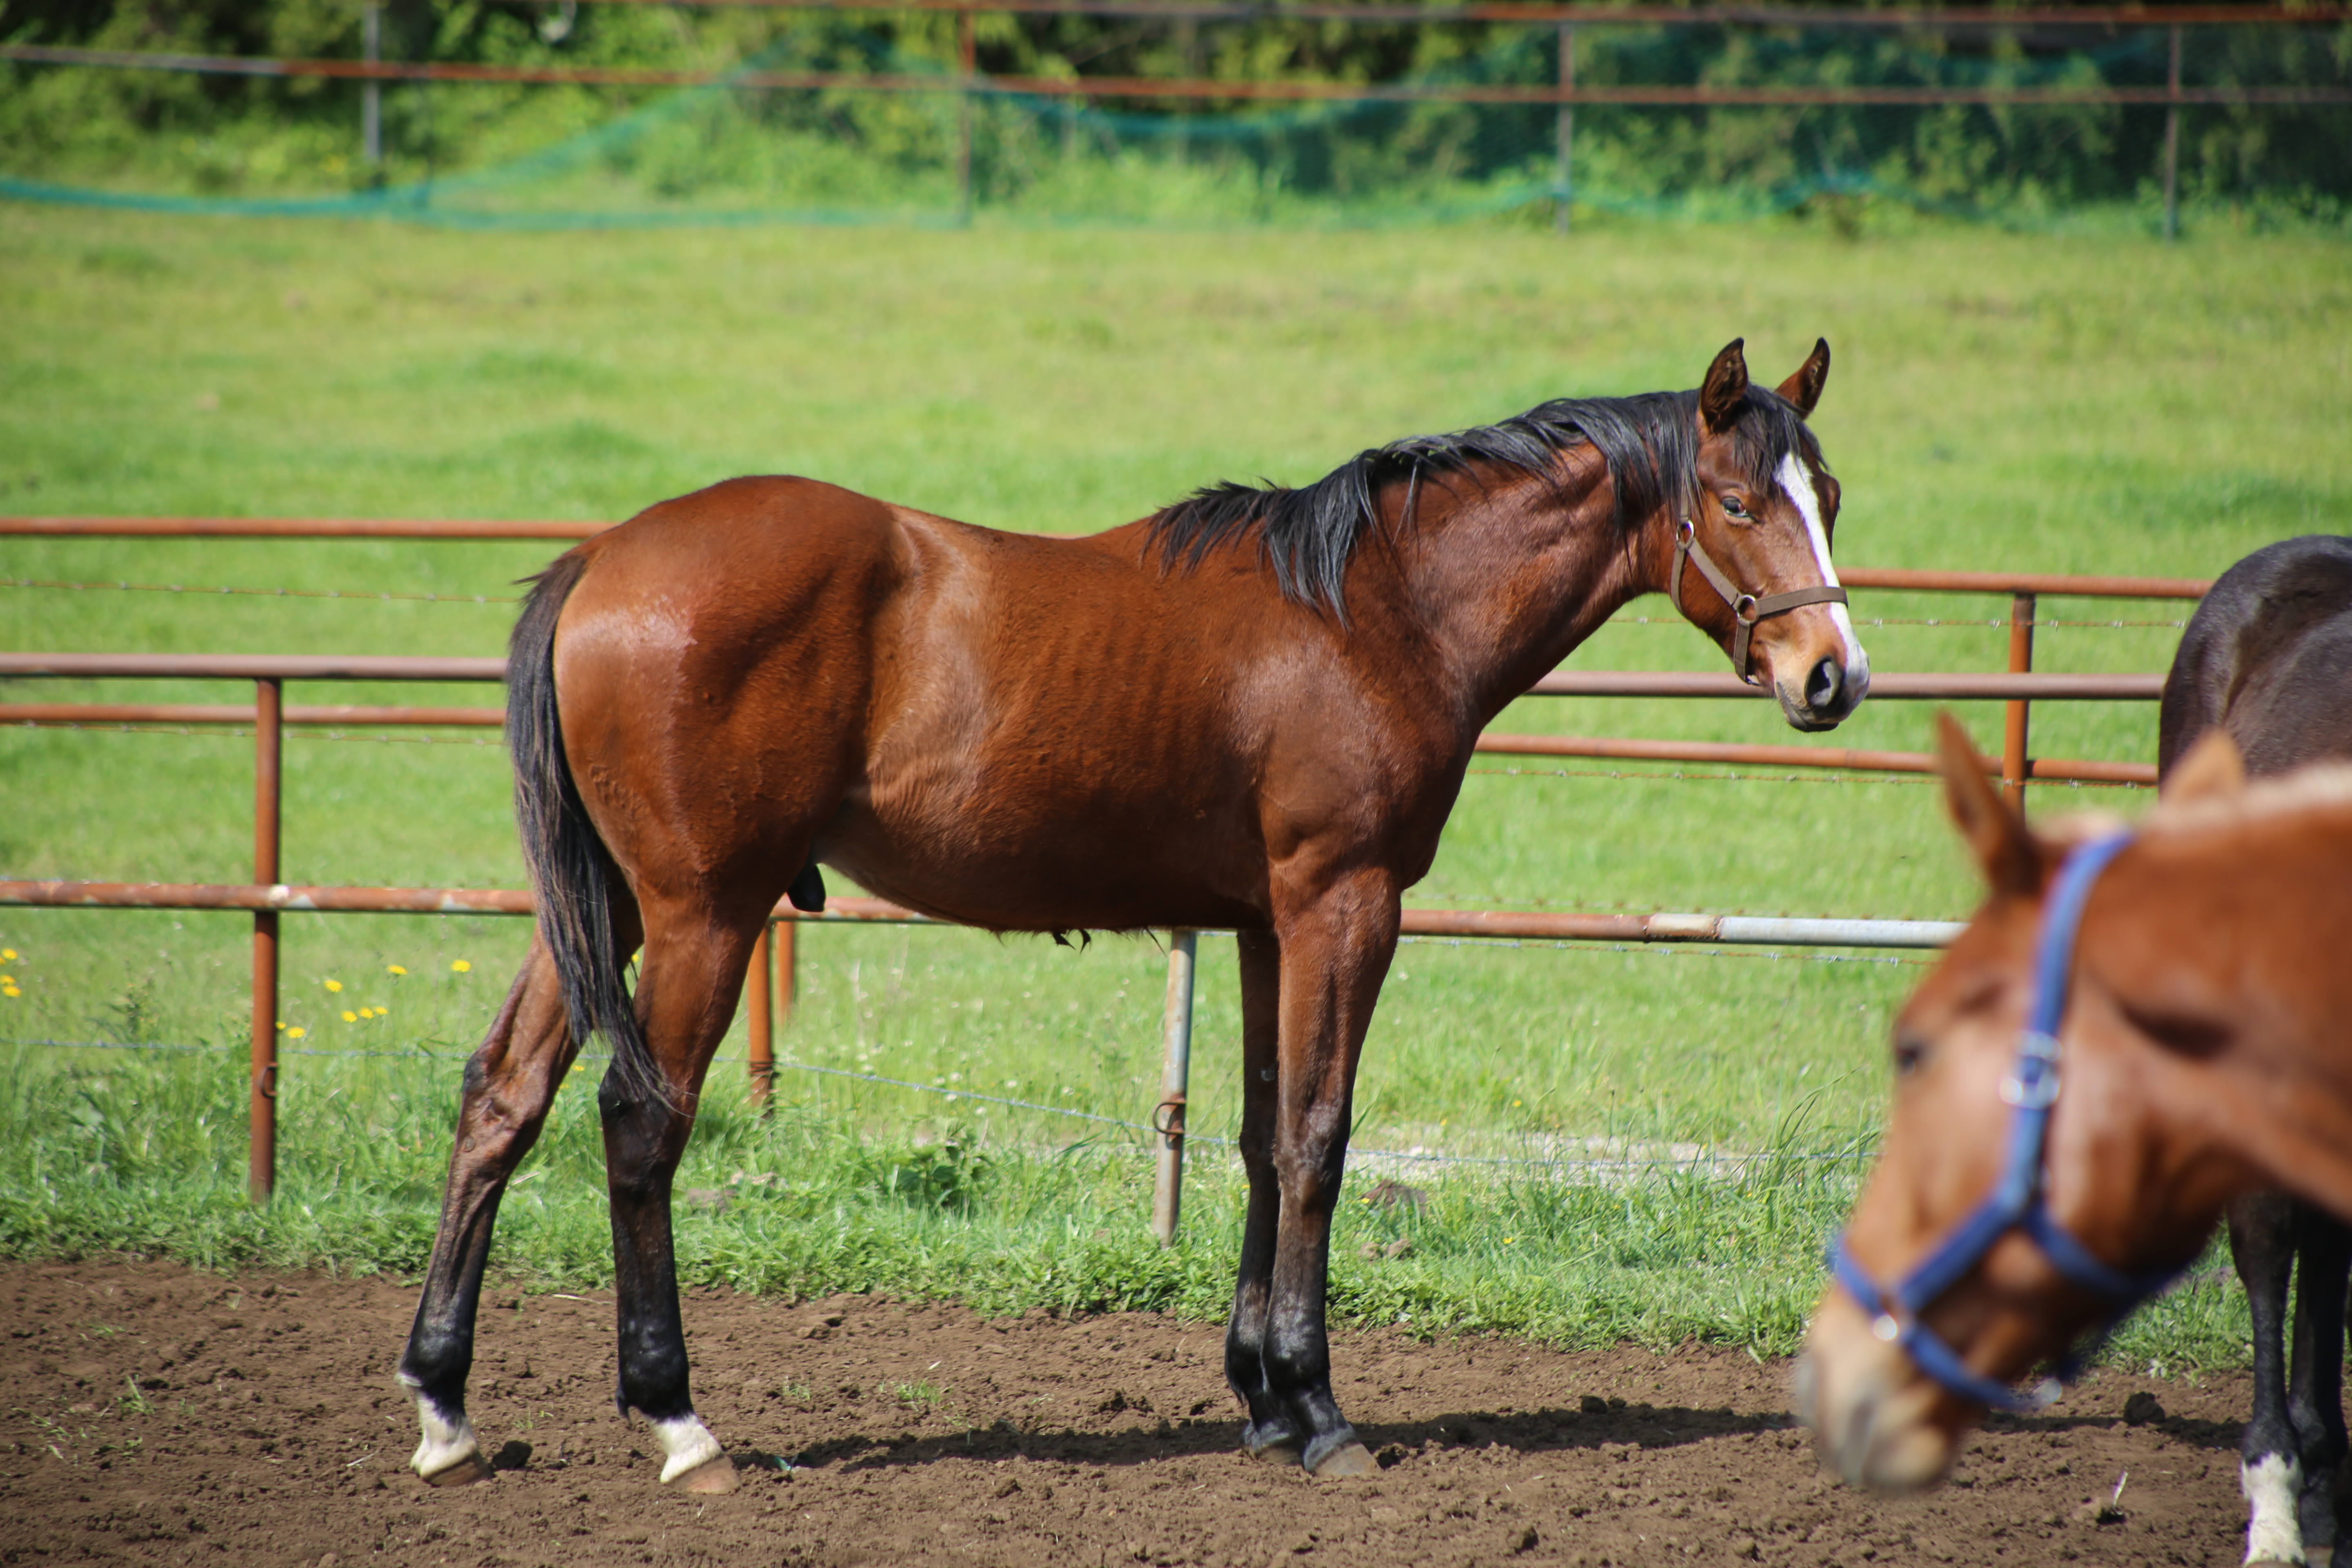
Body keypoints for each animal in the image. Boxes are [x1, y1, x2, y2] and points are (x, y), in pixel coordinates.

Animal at [404, 339, 1872, 1495]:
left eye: (1834, 497)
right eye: (1739, 500)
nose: (1833, 677)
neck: (1376, 607)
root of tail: (602, 559)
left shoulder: (1266, 922)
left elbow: (1262, 1140)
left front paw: (1264, 1400)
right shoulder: (1346, 904)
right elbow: (1321, 1141)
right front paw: (1320, 1410)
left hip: (601, 912)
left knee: (503, 1097)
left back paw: (444, 1406)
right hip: (705, 911)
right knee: (638, 1122)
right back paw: (676, 1421)